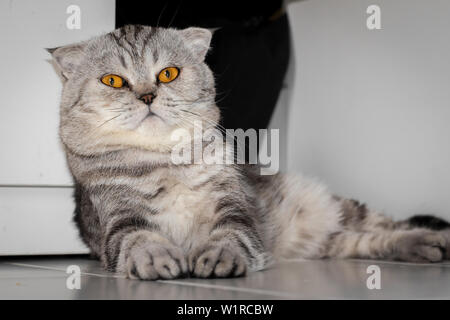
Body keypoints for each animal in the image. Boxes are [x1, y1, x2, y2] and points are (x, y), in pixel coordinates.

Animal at [49, 25, 450, 280]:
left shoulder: (235, 208)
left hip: (340, 206)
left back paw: (433, 240)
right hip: (333, 240)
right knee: (364, 241)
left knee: (387, 225)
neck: (166, 159)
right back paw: (424, 248)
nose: (147, 96)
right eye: (113, 80)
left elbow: (230, 235)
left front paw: (217, 257)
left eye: (168, 74)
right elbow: (138, 237)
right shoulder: (117, 220)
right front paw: (157, 256)